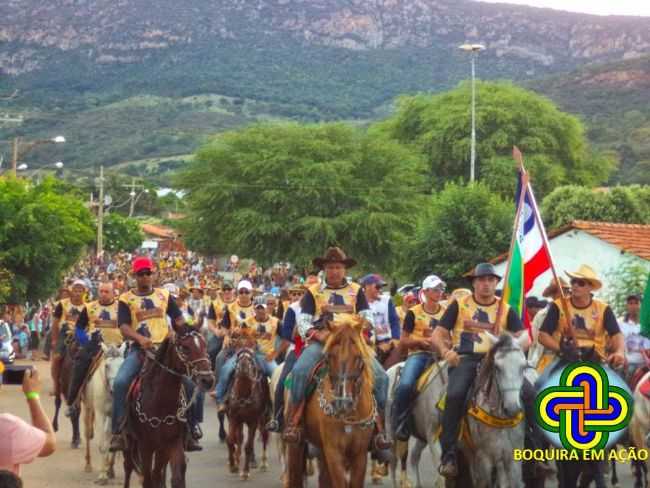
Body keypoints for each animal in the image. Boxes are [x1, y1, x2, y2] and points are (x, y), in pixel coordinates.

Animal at [81, 344, 124, 484]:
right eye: (107, 366)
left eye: (122, 364)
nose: (115, 389)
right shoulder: (100, 413)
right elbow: (102, 444)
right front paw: (102, 476)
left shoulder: (113, 414)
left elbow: (110, 441)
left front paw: (109, 470)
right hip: (88, 407)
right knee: (87, 432)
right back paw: (88, 464)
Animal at [121, 326, 213, 488]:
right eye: (184, 347)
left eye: (204, 344)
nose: (207, 380)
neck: (160, 403)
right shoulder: (146, 446)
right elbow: (148, 479)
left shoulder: (171, 443)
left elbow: (174, 476)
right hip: (130, 443)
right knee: (128, 467)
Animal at [225, 338, 270, 482]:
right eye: (239, 356)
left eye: (251, 358)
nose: (244, 366)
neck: (243, 394)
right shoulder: (233, 417)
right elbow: (230, 440)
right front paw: (233, 465)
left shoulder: (253, 421)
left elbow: (248, 446)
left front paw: (245, 472)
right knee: (240, 437)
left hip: (264, 418)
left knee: (264, 435)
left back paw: (263, 463)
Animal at [286, 316, 372, 488]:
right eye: (329, 356)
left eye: (358, 357)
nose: (342, 402)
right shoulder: (334, 452)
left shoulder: (360, 454)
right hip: (297, 444)